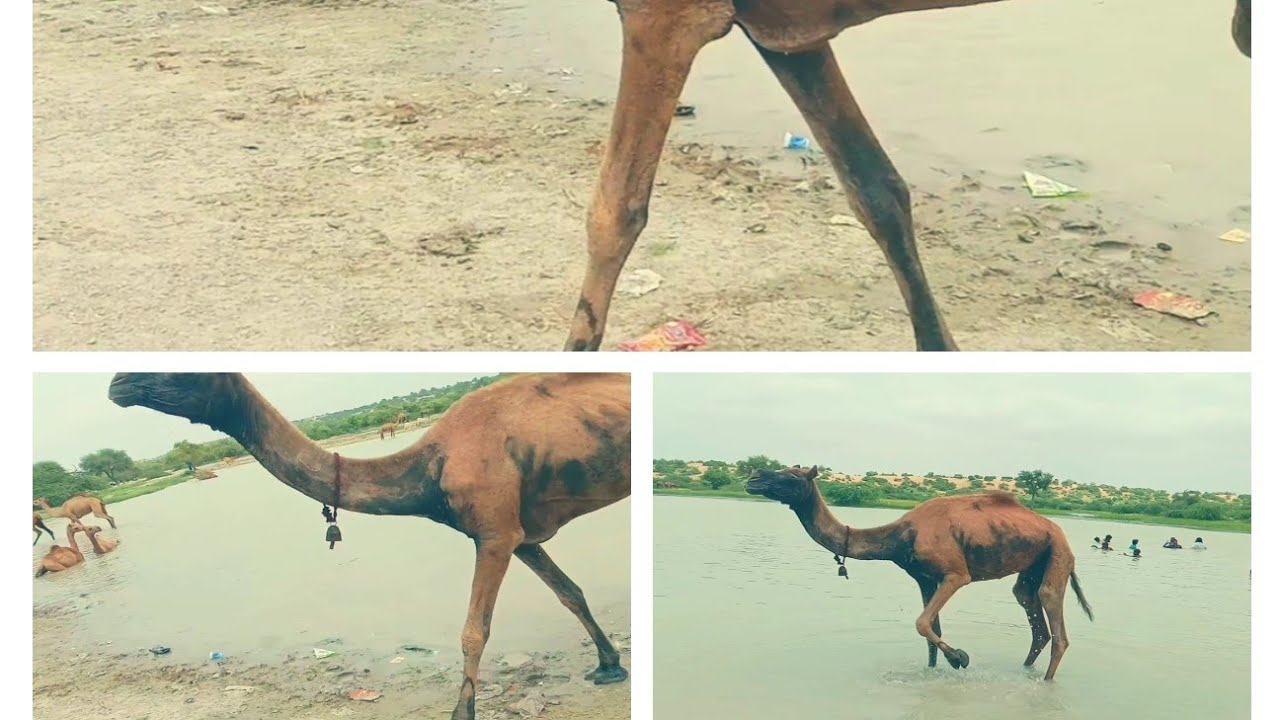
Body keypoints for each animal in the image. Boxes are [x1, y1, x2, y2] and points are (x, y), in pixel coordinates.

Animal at [108, 372, 631, 720]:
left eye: (186, 372)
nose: (117, 382)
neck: (429, 469)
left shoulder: (495, 533)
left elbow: (472, 632)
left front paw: (461, 713)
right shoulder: (513, 533)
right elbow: (570, 593)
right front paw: (609, 666)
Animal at [746, 465, 1092, 680]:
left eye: (792, 477)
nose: (753, 477)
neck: (901, 535)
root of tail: (1057, 530)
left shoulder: (955, 574)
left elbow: (922, 623)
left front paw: (960, 658)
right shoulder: (924, 579)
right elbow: (930, 632)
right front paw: (934, 671)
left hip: (1058, 554)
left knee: (1056, 624)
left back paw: (1045, 681)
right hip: (1032, 567)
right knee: (1033, 617)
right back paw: (1025, 672)